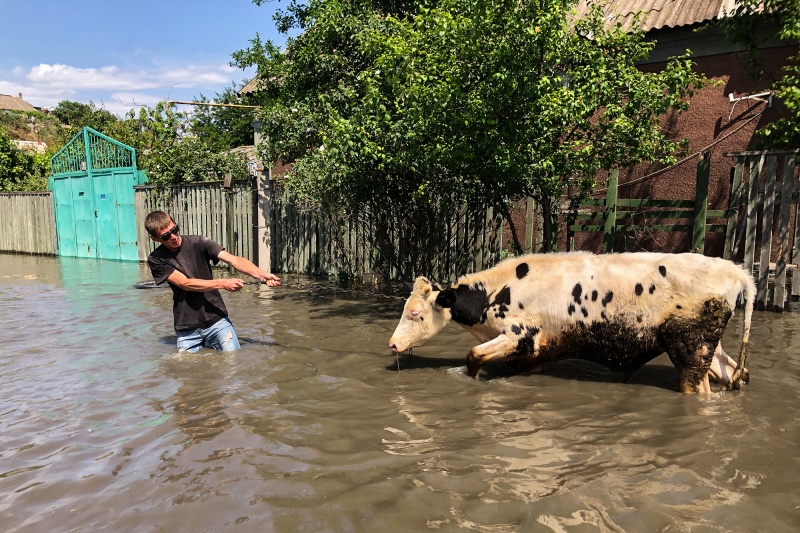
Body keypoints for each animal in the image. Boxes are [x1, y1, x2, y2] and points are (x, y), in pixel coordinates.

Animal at [390, 251, 756, 392]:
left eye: (416, 314)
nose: (392, 344)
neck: (497, 292)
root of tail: (734, 270)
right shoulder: (533, 354)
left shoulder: (520, 336)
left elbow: (474, 356)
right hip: (709, 348)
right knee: (735, 372)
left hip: (690, 350)